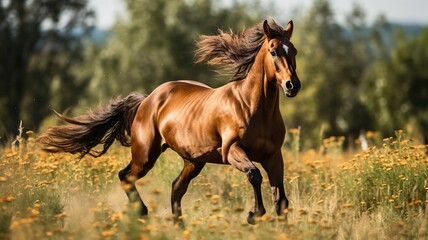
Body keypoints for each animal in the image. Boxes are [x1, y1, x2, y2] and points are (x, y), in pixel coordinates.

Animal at [40, 17, 300, 224]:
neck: (252, 107)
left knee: (176, 188)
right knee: (126, 176)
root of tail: (147, 100)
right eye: (274, 51)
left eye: (294, 51)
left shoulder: (273, 156)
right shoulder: (232, 150)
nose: (292, 86)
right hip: (145, 156)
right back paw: (142, 213)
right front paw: (254, 214)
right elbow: (254, 175)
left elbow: (281, 200)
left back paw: (178, 225)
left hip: (193, 161)